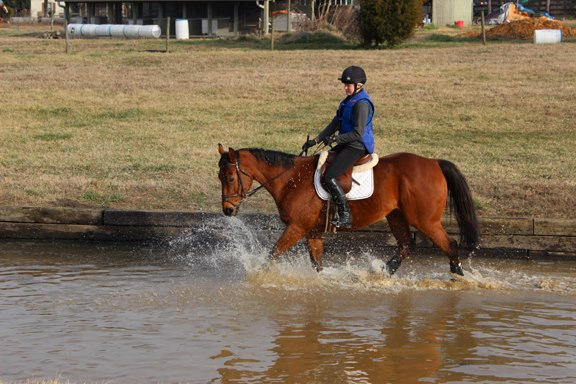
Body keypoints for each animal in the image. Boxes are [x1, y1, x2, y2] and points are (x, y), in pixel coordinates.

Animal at [218, 144, 480, 276]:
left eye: (229, 177)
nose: (227, 211)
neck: (291, 178)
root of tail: (434, 162)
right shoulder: (312, 231)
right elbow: (317, 264)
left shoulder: (296, 228)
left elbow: (272, 255)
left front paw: (257, 276)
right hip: (396, 215)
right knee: (406, 245)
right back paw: (382, 273)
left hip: (425, 220)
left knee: (450, 245)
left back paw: (457, 277)